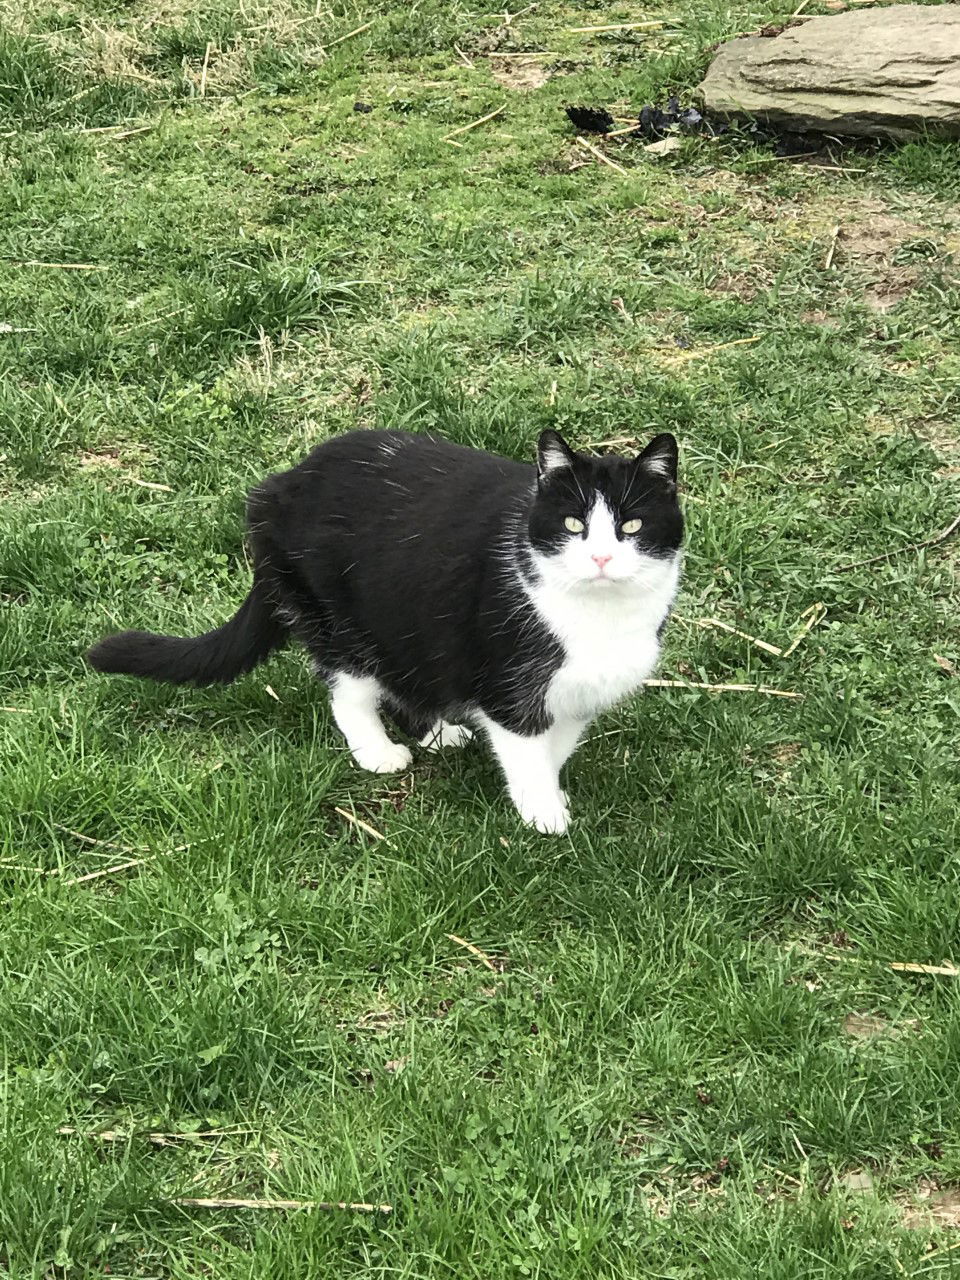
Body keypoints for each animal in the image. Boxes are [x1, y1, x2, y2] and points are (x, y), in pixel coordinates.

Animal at [84, 424, 686, 834]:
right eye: (573, 524)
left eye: (633, 525)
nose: (602, 558)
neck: (599, 615)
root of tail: (278, 485)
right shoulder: (510, 687)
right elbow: (527, 752)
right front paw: (543, 814)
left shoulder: (578, 693)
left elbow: (555, 748)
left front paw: (552, 797)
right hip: (339, 617)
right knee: (347, 691)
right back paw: (378, 751)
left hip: (405, 618)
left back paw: (439, 732)